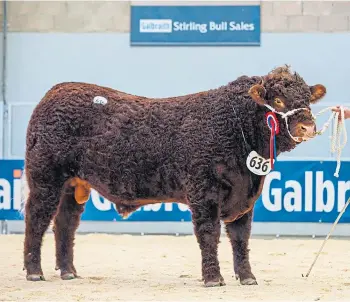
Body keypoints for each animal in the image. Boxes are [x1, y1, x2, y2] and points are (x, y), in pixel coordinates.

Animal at [21, 65, 328, 286]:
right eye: (277, 99)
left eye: (306, 100)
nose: (308, 127)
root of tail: (58, 89)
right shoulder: (204, 191)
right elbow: (209, 233)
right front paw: (213, 278)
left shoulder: (245, 198)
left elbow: (241, 238)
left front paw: (247, 278)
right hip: (45, 179)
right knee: (36, 219)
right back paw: (35, 271)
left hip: (73, 185)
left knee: (65, 224)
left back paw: (68, 271)